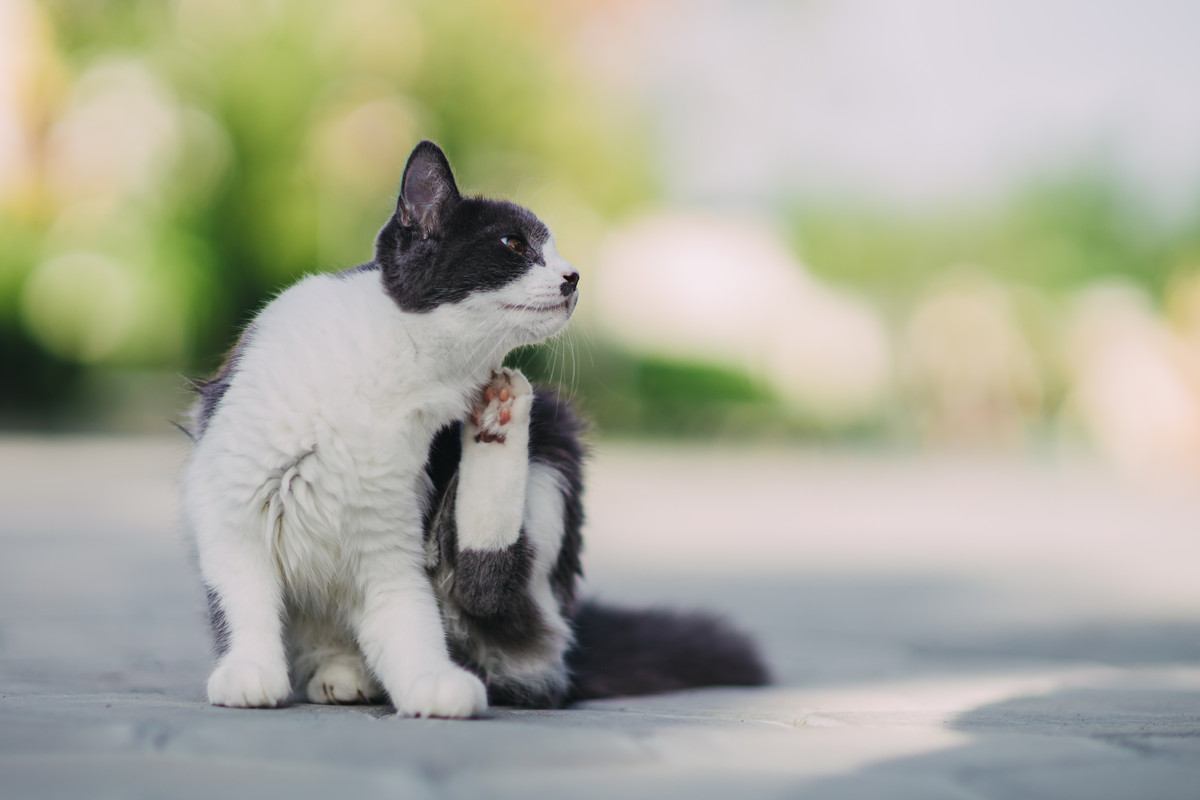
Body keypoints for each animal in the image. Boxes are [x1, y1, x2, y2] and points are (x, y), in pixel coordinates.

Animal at [184, 140, 768, 714]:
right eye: (513, 243)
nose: (574, 276)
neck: (401, 372)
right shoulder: (231, 506)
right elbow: (243, 597)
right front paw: (248, 670)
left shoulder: (390, 538)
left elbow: (408, 615)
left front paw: (430, 680)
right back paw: (344, 672)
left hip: (555, 429)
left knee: (492, 592)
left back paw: (501, 420)